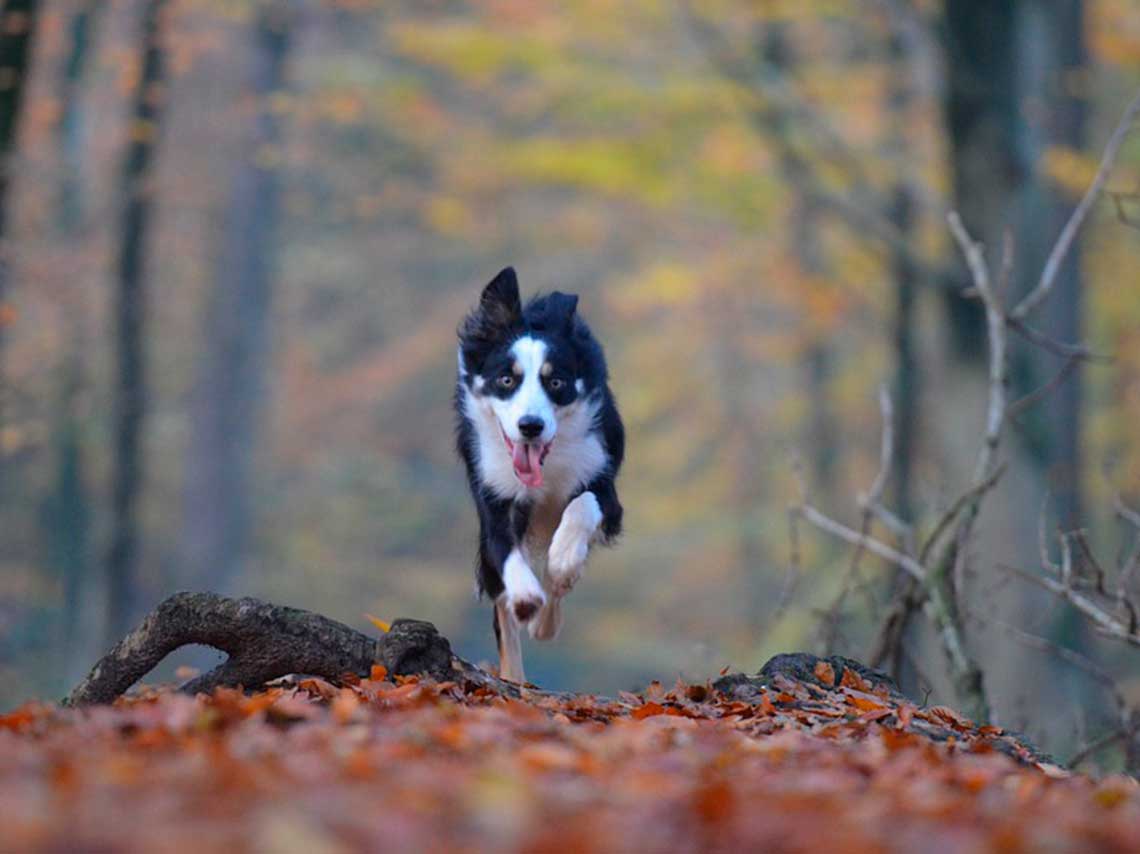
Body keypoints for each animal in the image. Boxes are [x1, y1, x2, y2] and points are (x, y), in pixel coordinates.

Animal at [453, 264, 624, 679]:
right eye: (506, 380)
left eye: (556, 382)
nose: (530, 426)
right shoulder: (493, 492)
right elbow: (504, 550)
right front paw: (526, 596)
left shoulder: (605, 486)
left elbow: (583, 505)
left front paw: (563, 560)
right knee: (502, 609)